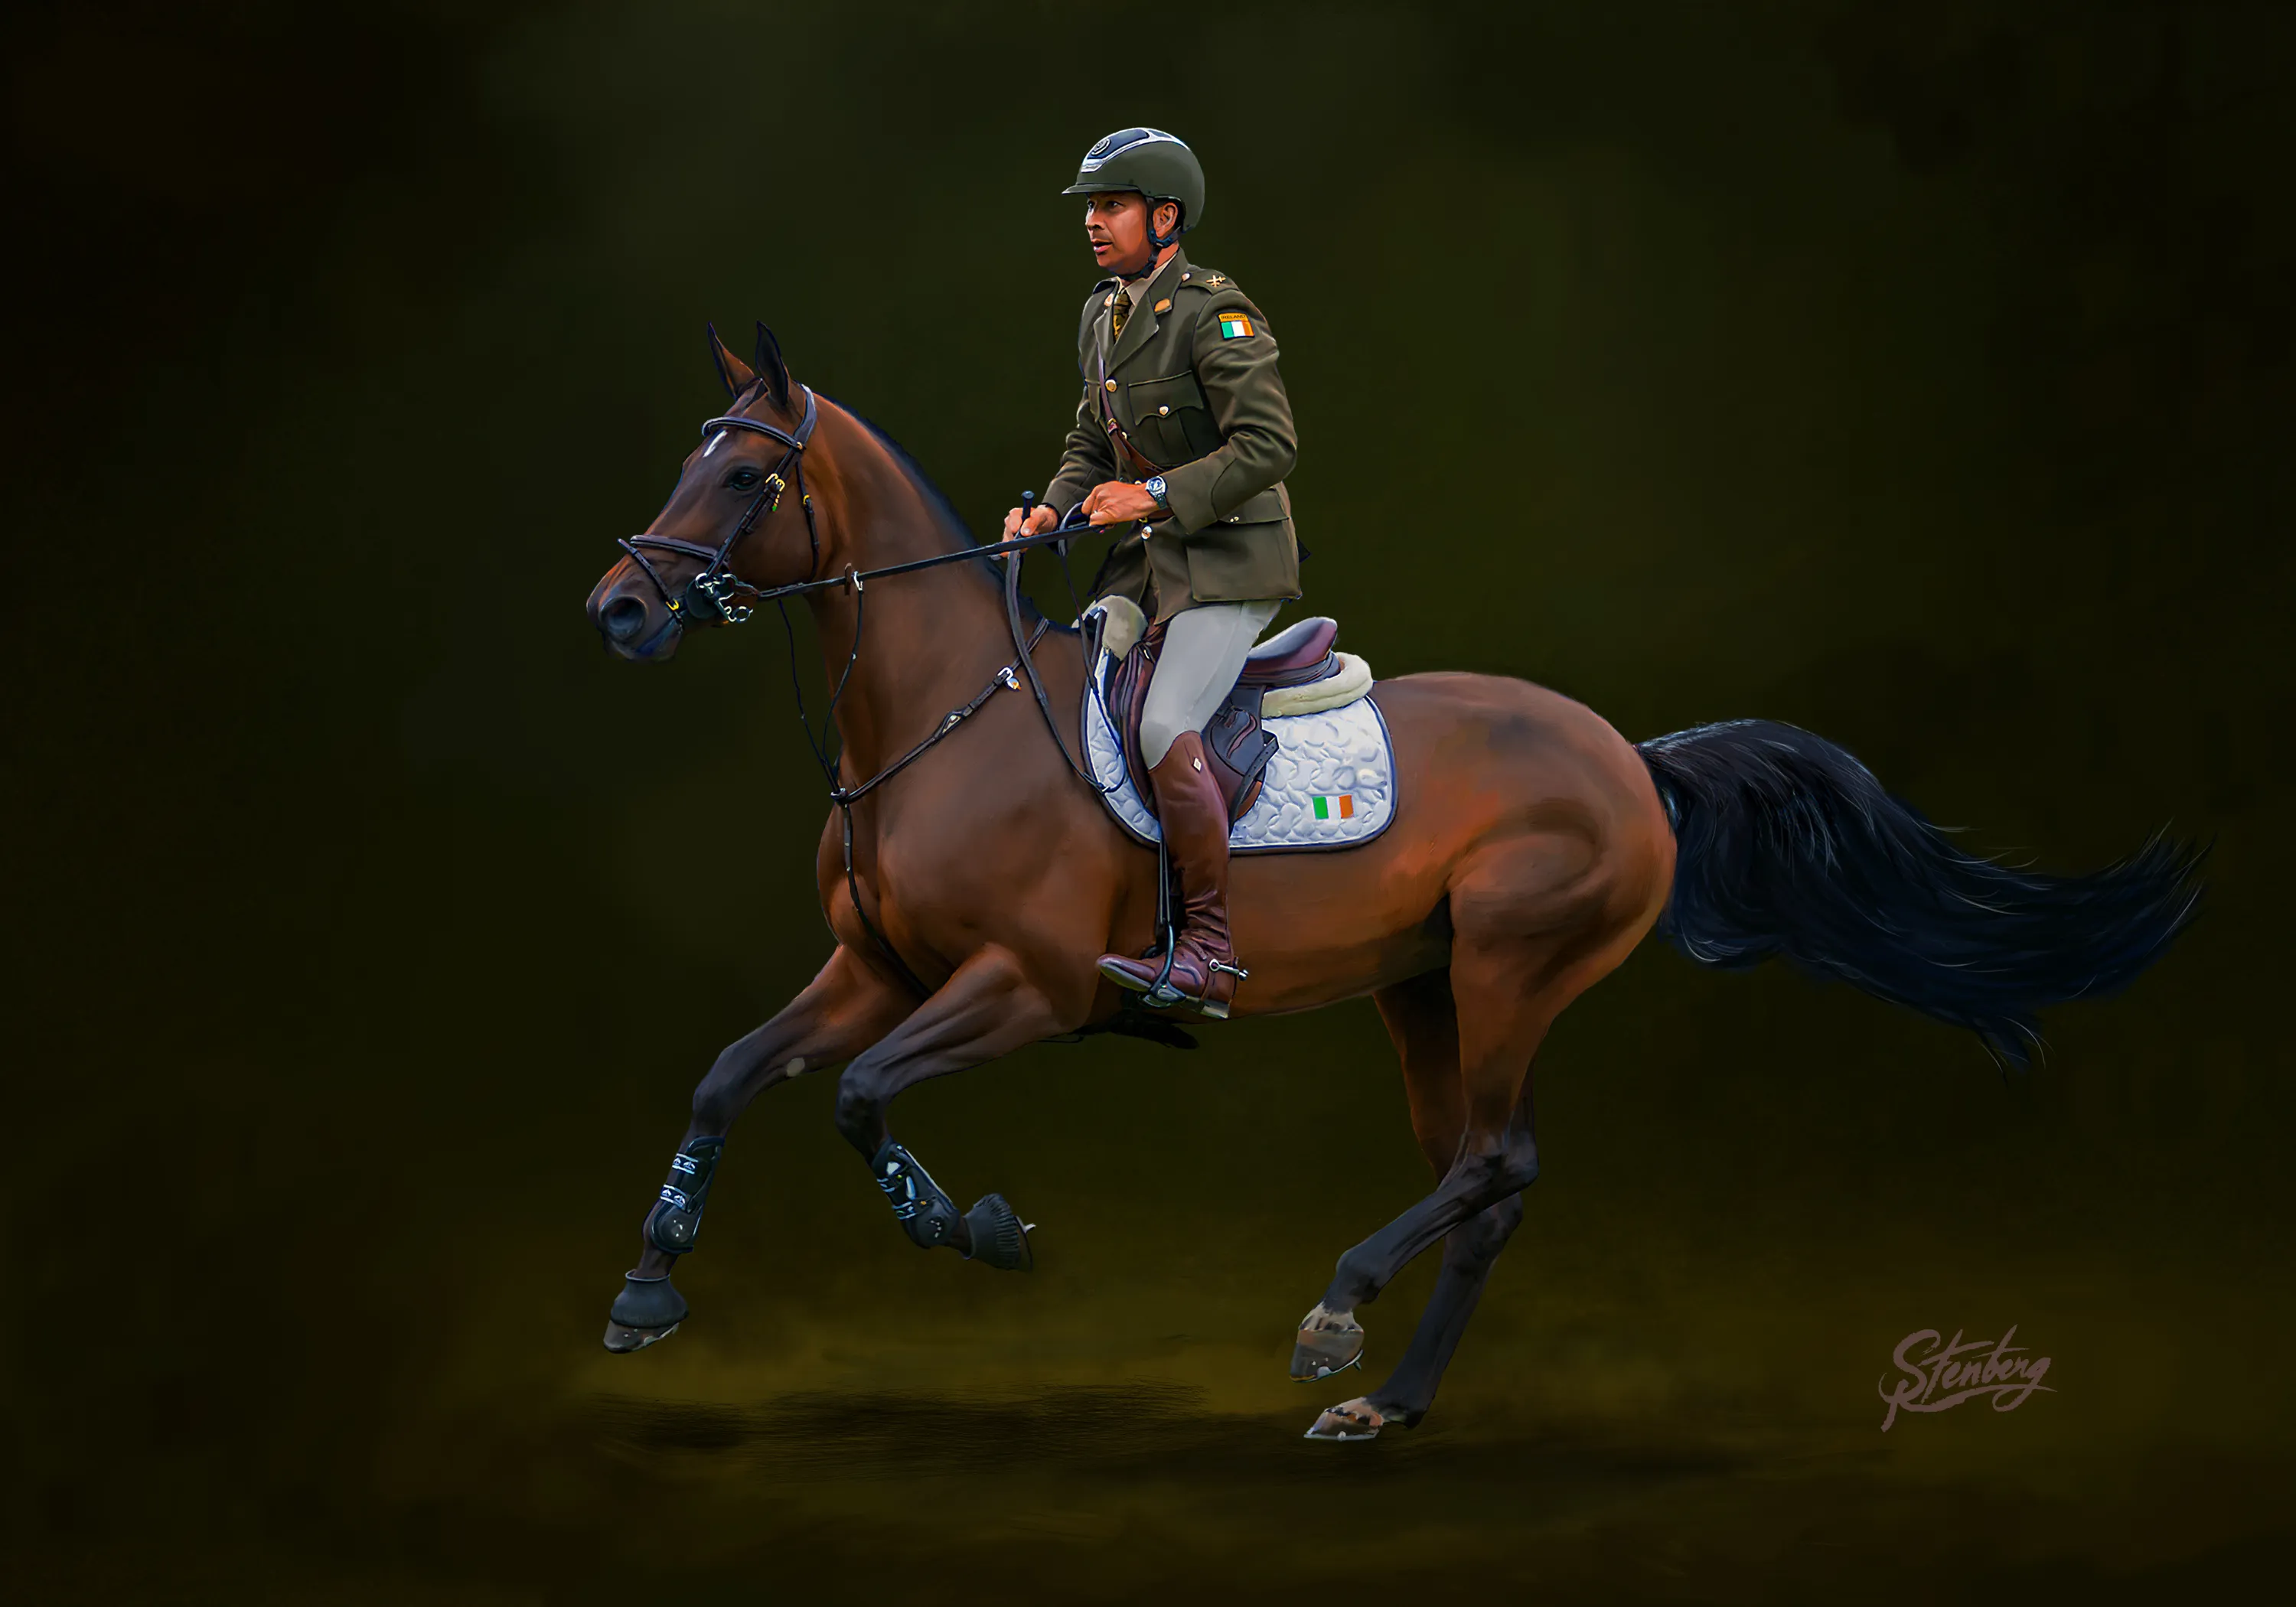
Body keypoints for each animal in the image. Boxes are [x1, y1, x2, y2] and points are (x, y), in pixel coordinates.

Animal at [581, 325, 2202, 1442]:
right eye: (685, 457)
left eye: (744, 473)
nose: (617, 611)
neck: (935, 725)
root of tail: (1632, 757)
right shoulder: (877, 970)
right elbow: (731, 1074)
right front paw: (649, 1290)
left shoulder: (1022, 988)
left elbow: (862, 1101)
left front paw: (973, 1227)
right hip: (1424, 992)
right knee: (1485, 1180)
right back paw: (1389, 1401)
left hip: (1508, 960)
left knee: (1495, 1163)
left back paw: (1335, 1318)